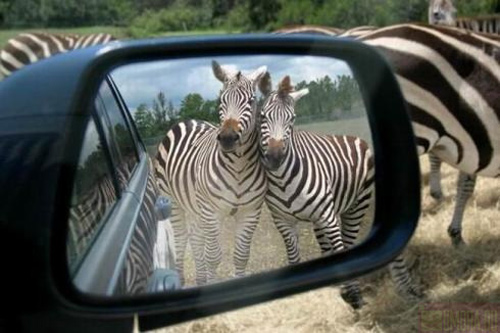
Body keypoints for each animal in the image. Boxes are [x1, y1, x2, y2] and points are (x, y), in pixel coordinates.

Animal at [155, 61, 270, 284]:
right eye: (221, 100)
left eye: (251, 101)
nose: (227, 138)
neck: (239, 167)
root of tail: (186, 121)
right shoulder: (210, 211)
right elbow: (213, 256)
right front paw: (212, 282)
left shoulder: (250, 211)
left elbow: (241, 255)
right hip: (172, 202)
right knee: (181, 240)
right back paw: (181, 279)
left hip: (193, 206)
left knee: (196, 239)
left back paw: (200, 279)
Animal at [256, 75, 420, 308]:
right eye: (262, 115)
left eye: (292, 119)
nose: (275, 158)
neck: (282, 179)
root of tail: (353, 137)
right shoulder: (283, 222)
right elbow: (294, 257)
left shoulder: (328, 217)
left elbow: (342, 252)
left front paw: (354, 295)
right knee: (328, 249)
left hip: (355, 206)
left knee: (347, 244)